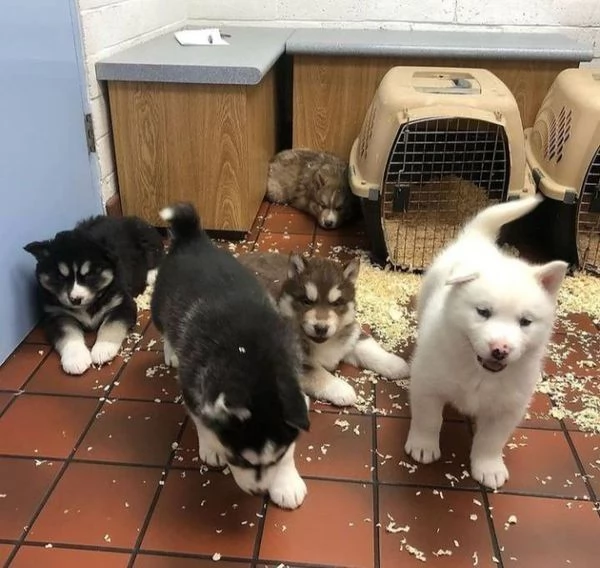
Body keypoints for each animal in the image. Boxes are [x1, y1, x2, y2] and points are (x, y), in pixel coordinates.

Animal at [24, 215, 163, 374]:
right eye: (59, 276)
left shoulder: (122, 303)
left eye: (89, 274)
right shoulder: (57, 316)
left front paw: (102, 350)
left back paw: (152, 275)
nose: (75, 299)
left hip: (147, 239)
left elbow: (111, 325)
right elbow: (68, 334)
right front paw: (75, 360)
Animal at [151, 203, 310, 510]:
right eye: (237, 459)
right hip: (160, 308)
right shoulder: (192, 386)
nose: (259, 492)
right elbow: (202, 420)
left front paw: (286, 482)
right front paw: (211, 446)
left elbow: (291, 443)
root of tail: (192, 239)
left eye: (276, 458)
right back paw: (170, 352)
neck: (252, 361)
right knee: (167, 329)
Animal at [404, 195, 568, 488]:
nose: (500, 349)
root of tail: (478, 240)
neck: (478, 372)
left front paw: (489, 467)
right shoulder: (428, 384)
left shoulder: (508, 408)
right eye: (483, 312)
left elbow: (491, 441)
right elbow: (429, 418)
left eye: (525, 321)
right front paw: (423, 446)